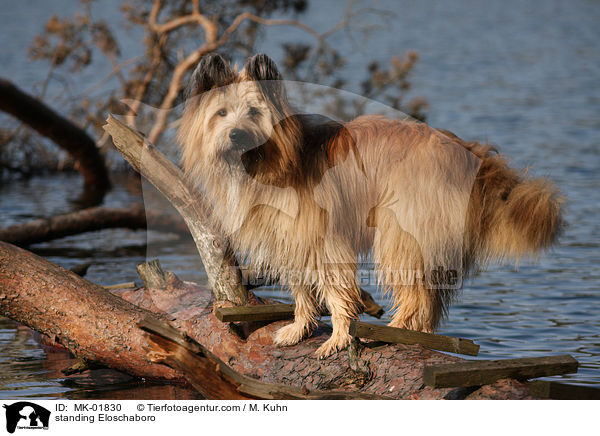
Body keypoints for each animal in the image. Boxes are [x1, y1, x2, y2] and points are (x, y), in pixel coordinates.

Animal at [177, 53, 564, 358]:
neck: (267, 162)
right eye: (221, 113)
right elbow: (301, 287)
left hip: (403, 230)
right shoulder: (287, 239)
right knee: (432, 298)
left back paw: (392, 332)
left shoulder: (322, 238)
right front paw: (300, 328)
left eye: (254, 112)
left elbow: (335, 289)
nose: (237, 135)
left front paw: (339, 337)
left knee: (415, 293)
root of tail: (469, 152)